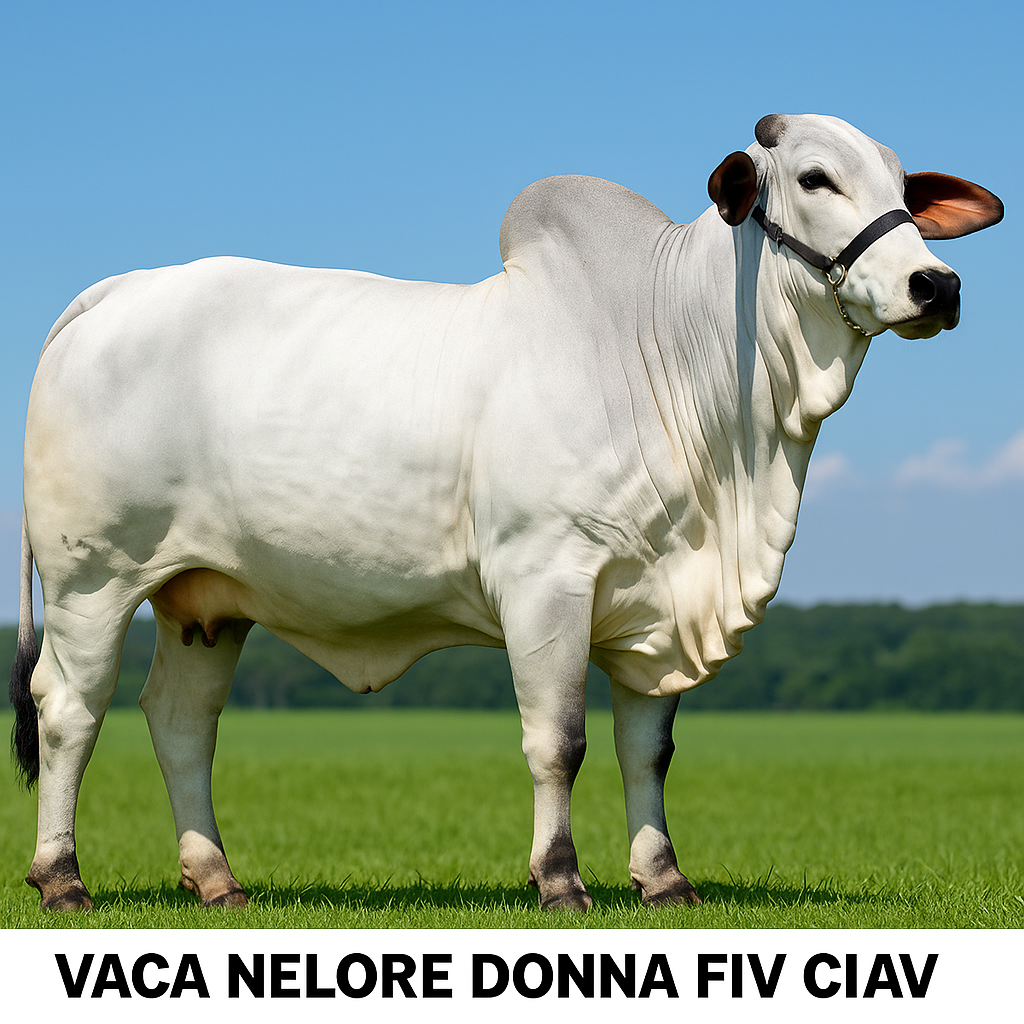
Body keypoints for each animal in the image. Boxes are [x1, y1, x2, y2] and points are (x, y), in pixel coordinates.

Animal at [9, 114, 1002, 912]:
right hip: (92, 581)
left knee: (181, 721)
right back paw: (62, 880)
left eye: (904, 187)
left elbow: (647, 750)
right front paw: (560, 880)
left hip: (205, 601)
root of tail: (112, 294)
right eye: (814, 178)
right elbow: (558, 741)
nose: (937, 284)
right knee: (69, 711)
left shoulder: (657, 602)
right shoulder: (545, 581)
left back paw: (216, 879)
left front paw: (664, 879)